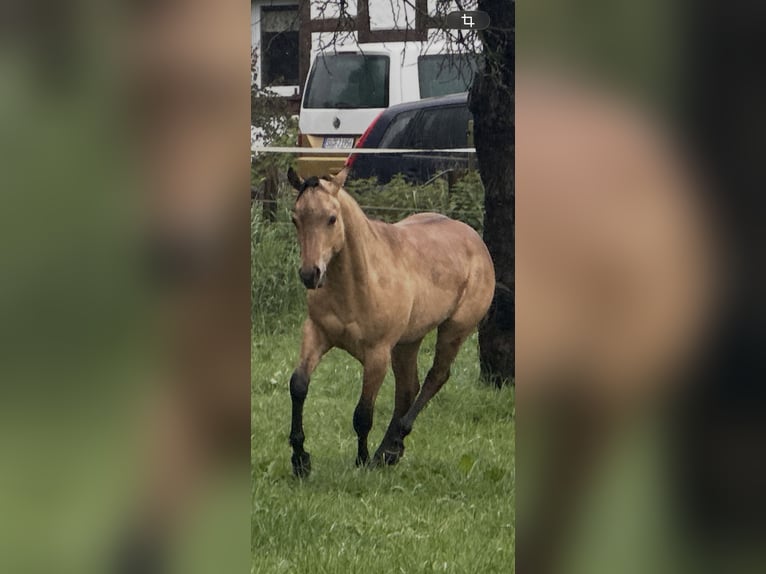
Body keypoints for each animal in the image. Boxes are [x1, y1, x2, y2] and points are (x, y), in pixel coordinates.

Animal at [285, 166, 495, 477]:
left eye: (331, 218)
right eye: (295, 218)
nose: (311, 274)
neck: (359, 284)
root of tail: (476, 240)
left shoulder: (377, 354)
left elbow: (363, 413)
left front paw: (361, 460)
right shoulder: (316, 333)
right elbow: (298, 385)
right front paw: (300, 459)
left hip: (454, 330)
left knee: (436, 377)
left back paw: (391, 447)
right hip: (408, 342)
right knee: (408, 388)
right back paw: (387, 452)